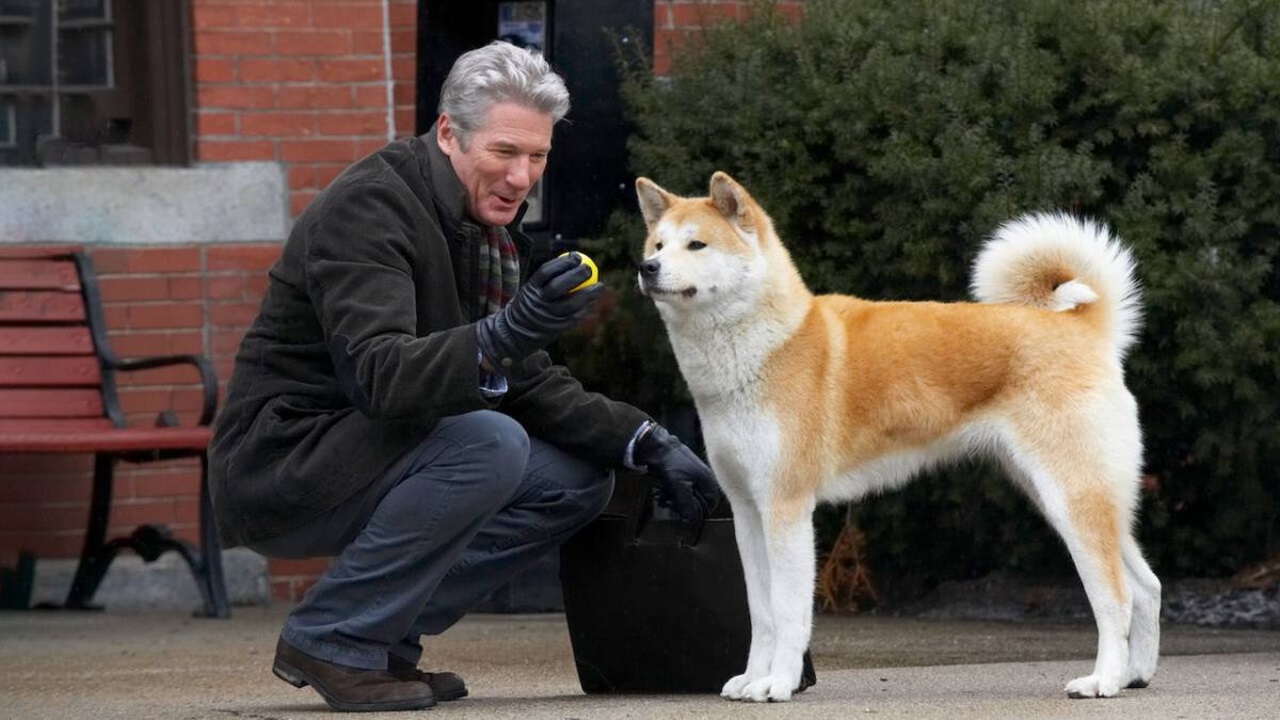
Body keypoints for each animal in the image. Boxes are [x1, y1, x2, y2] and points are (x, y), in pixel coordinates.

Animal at [637, 170, 1162, 696]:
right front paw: (752, 680)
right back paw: (1134, 674)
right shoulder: (748, 511)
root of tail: (1083, 328)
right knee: (1147, 587)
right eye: (659, 244)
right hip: (1072, 498)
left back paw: (1104, 679)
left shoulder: (786, 507)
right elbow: (761, 613)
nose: (647, 267)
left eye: (697, 244)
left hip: (1072, 500)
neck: (770, 346)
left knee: (1116, 597)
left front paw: (779, 684)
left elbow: (787, 612)